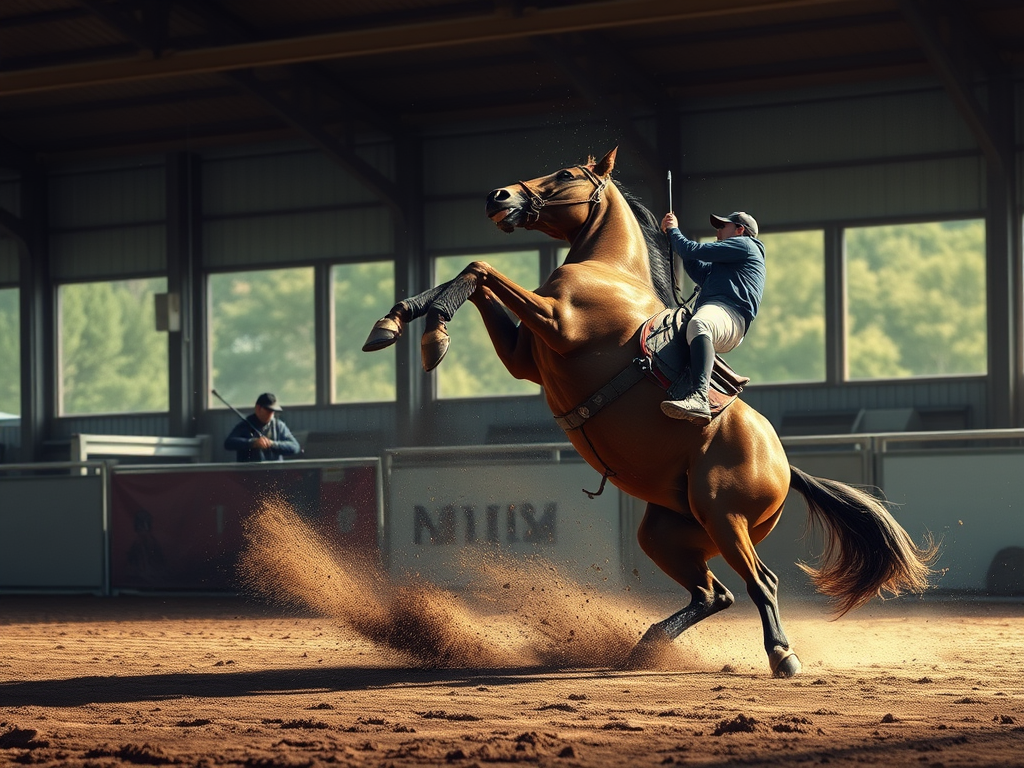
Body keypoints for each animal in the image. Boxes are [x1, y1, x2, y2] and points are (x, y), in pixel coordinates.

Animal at [362, 147, 935, 677]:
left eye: (566, 173)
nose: (498, 196)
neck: (610, 271)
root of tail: (784, 465)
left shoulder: (558, 323)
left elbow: (482, 269)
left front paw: (425, 326)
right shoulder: (525, 356)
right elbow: (477, 276)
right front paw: (405, 323)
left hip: (725, 519)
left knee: (760, 583)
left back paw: (781, 655)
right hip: (668, 533)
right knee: (714, 594)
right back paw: (646, 645)